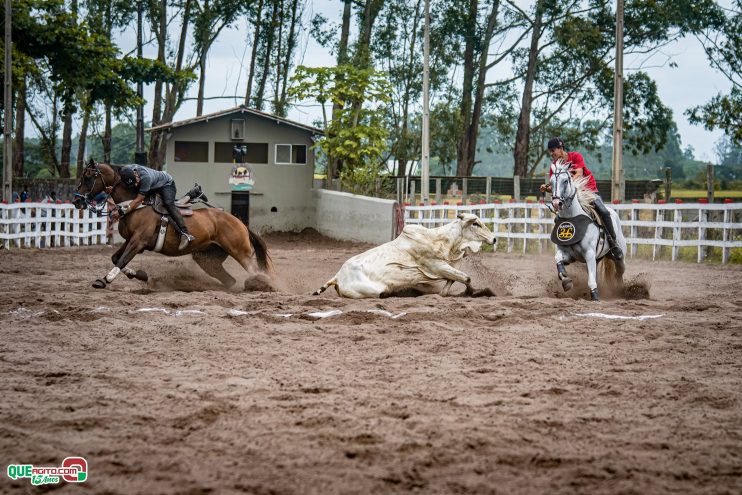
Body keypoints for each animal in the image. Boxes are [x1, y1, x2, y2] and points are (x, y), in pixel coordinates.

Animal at [74, 163, 274, 288]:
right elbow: (116, 258)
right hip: (206, 258)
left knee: (254, 271)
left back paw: (260, 285)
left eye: (88, 177)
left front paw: (104, 280)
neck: (136, 205)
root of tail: (240, 222)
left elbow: (122, 260)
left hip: (240, 252)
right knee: (229, 280)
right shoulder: (131, 240)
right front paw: (139, 274)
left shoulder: (138, 241)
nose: (77, 200)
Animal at [310, 212, 496, 298]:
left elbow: (455, 279)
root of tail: (337, 276)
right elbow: (466, 278)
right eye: (476, 223)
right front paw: (480, 292)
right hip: (372, 290)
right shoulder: (437, 266)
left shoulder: (447, 267)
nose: (494, 238)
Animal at [548, 162, 628, 302]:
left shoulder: (589, 254)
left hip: (619, 257)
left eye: (565, 181)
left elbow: (591, 280)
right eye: (551, 182)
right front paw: (566, 280)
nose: (557, 203)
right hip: (598, 258)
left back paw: (619, 291)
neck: (572, 217)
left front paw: (595, 296)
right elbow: (558, 259)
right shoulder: (569, 255)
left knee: (619, 273)